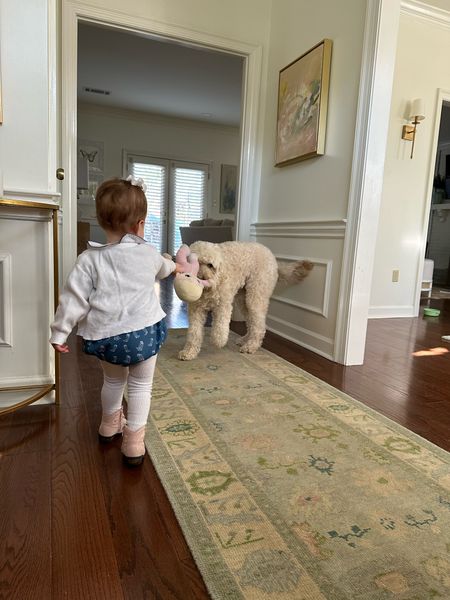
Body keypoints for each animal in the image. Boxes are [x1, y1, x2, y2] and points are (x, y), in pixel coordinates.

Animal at [178, 240, 312, 360]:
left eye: (210, 265)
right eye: (194, 263)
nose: (201, 278)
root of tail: (272, 258)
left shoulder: (223, 306)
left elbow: (220, 328)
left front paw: (218, 341)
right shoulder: (196, 310)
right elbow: (194, 333)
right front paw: (189, 352)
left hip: (255, 296)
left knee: (259, 326)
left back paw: (251, 346)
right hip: (243, 300)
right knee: (251, 322)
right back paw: (245, 339)